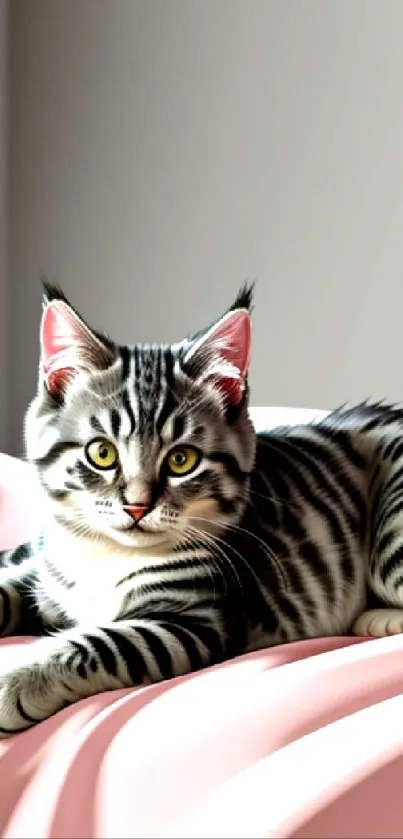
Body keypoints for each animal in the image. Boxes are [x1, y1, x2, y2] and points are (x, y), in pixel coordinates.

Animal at [0, 284, 402, 736]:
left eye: (181, 460)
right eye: (102, 453)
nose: (136, 506)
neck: (104, 555)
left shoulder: (195, 622)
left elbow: (99, 642)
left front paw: (15, 679)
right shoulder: (45, 579)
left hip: (390, 542)